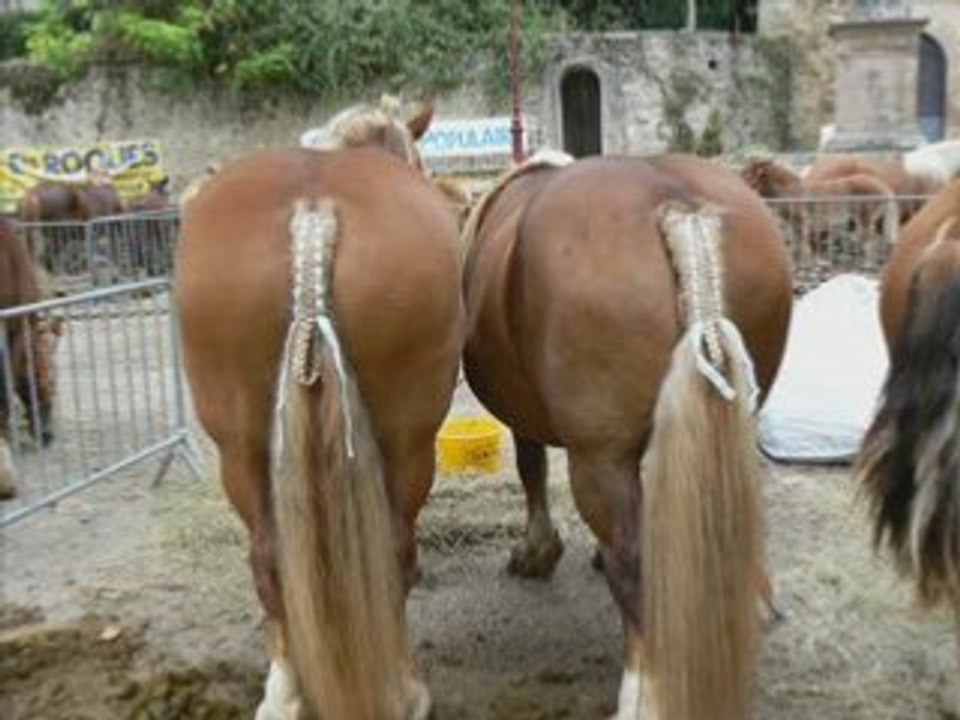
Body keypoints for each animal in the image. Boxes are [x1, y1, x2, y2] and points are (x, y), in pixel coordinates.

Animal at [174, 102, 462, 720]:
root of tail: (312, 213)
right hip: (408, 441)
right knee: (394, 552)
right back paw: (404, 689)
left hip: (239, 447)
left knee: (268, 561)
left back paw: (284, 694)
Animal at [462, 152, 793, 719]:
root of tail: (677, 206)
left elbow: (531, 466)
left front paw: (537, 551)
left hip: (599, 460)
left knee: (634, 564)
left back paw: (644, 692)